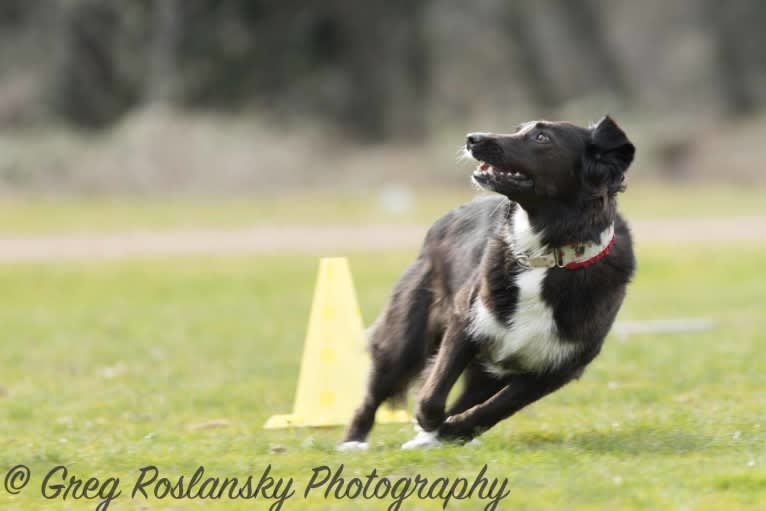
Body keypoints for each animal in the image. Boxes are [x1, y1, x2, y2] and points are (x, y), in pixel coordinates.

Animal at [340, 117, 636, 452]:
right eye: (518, 129)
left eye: (542, 137)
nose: (473, 138)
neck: (548, 255)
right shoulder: (466, 320)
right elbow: (433, 394)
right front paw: (430, 423)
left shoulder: (556, 368)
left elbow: (495, 409)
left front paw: (451, 431)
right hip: (406, 340)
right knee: (374, 393)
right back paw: (353, 442)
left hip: (487, 373)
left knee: (470, 399)